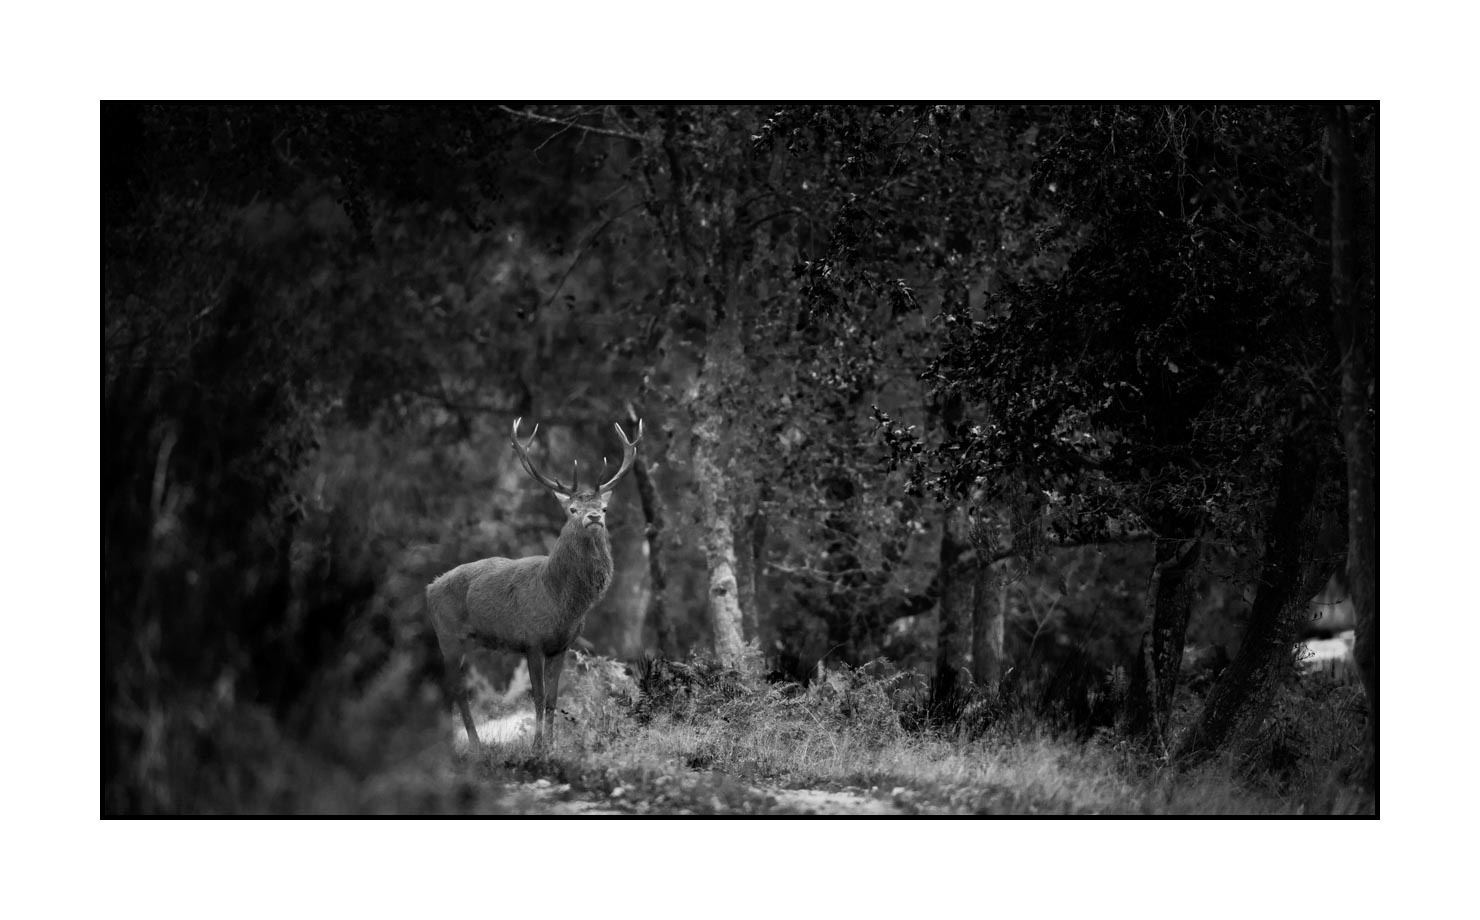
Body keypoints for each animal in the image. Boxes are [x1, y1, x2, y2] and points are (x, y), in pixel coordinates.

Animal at [427, 416, 642, 749]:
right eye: (572, 509)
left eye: (604, 508)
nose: (594, 517)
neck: (561, 603)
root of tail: (429, 588)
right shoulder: (531, 639)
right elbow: (538, 698)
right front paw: (536, 747)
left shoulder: (561, 645)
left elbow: (553, 699)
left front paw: (550, 746)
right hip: (447, 635)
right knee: (456, 689)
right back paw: (472, 746)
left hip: (465, 640)